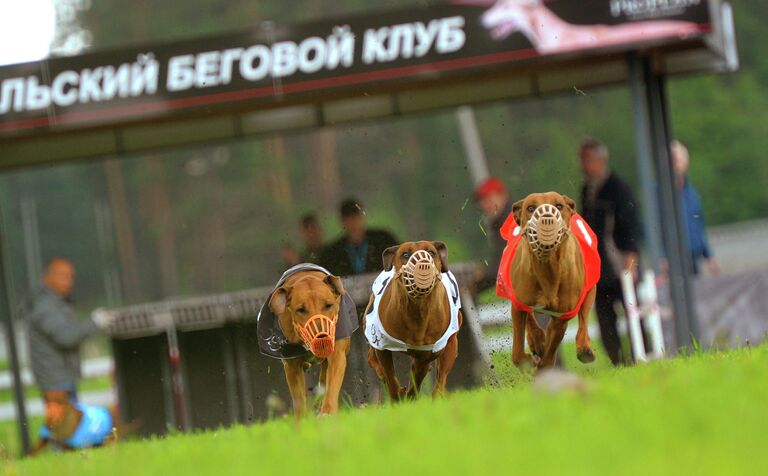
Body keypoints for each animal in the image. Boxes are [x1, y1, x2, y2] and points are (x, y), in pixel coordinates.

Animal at [255, 264, 356, 416]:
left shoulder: (337, 354)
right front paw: (303, 418)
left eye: (328, 305)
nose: (321, 337)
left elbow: (331, 384)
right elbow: (299, 398)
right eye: (301, 309)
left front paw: (327, 412)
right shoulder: (291, 366)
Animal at [362, 242, 462, 402]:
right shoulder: (381, 344)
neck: (417, 309)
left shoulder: (431, 350)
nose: (423, 263)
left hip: (450, 343)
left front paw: (410, 395)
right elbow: (390, 377)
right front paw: (399, 396)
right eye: (405, 254)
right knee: (372, 357)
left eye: (431, 252)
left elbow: (421, 373)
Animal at [496, 192, 604, 370]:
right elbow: (517, 354)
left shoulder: (562, 316)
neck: (547, 268)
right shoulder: (518, 304)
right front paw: (532, 354)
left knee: (584, 318)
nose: (547, 217)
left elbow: (550, 351)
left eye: (559, 205)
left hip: (590, 289)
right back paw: (537, 340)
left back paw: (584, 348)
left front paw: (542, 365)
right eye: (530, 208)